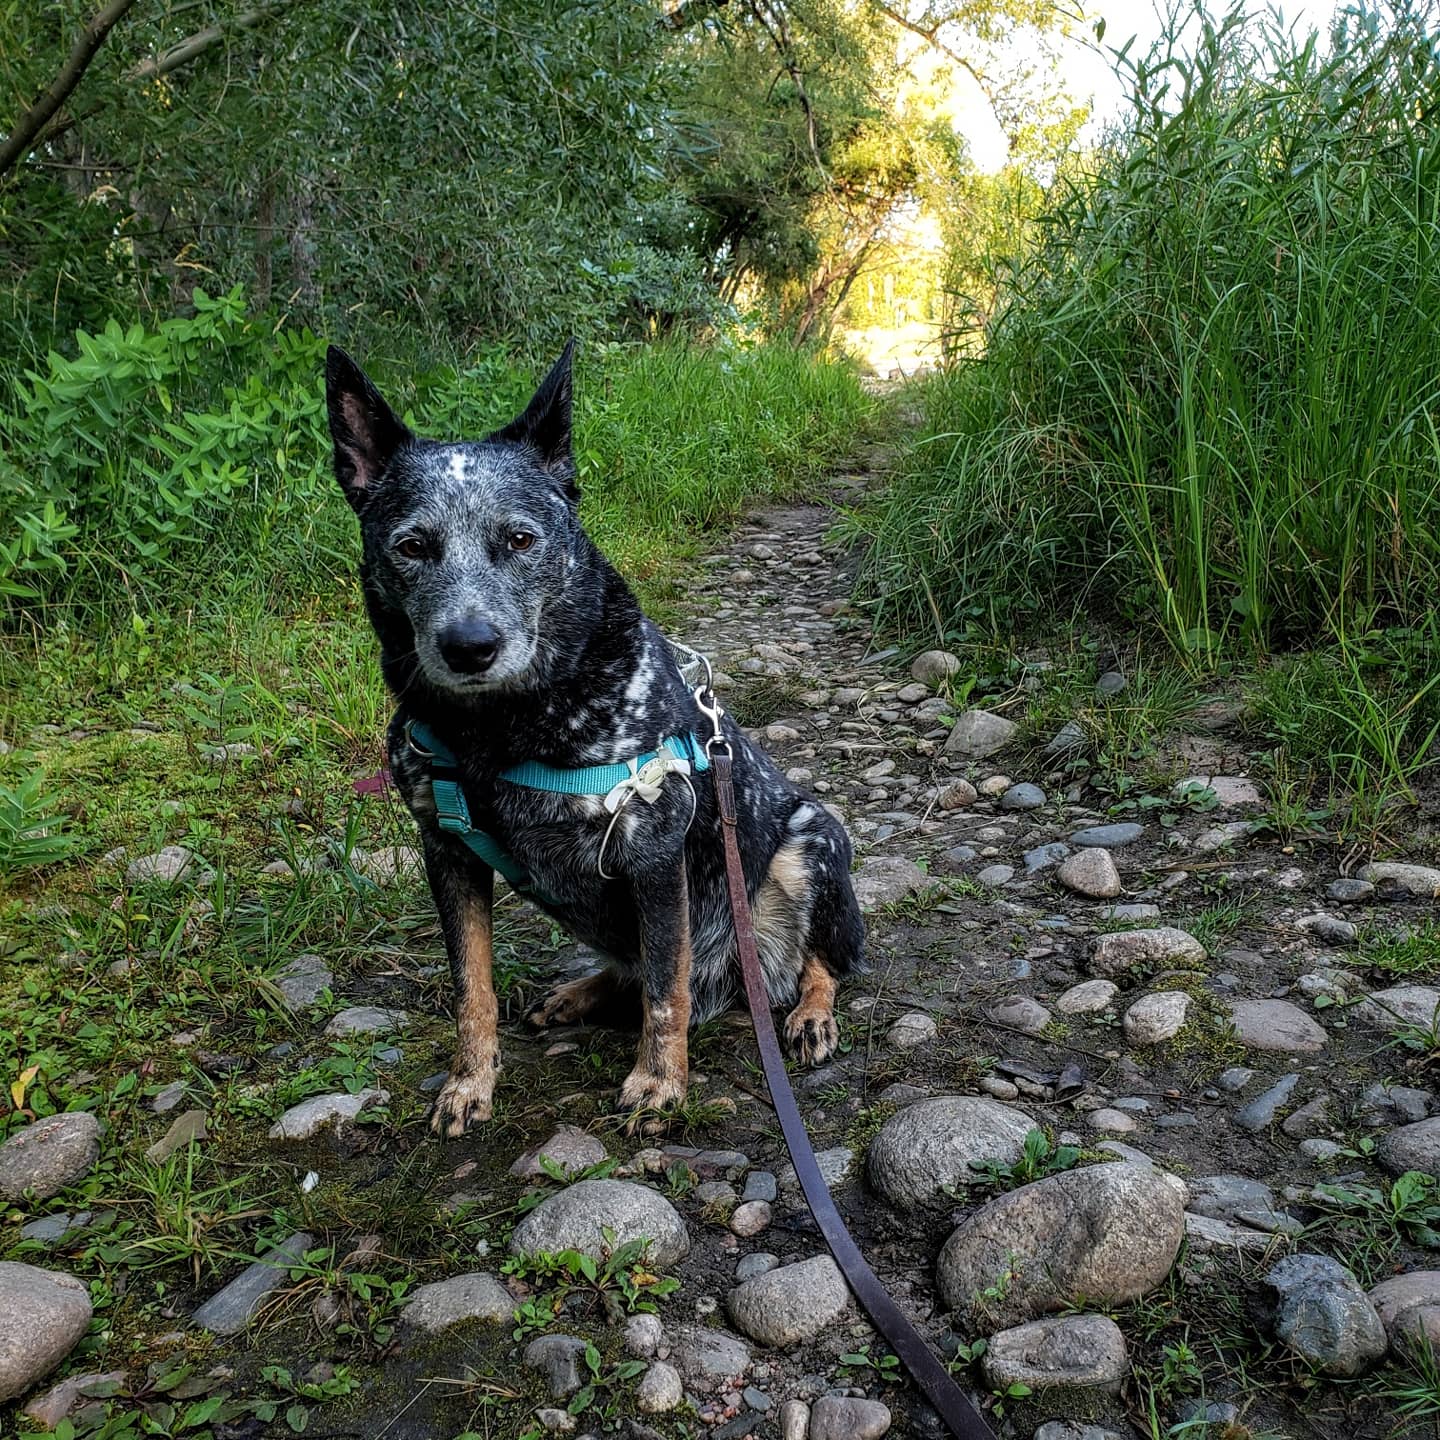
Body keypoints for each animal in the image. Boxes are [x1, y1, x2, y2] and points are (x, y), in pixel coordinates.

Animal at [325, 342, 866, 1136]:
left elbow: (667, 991)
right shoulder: (448, 855)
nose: (469, 646)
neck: (500, 732)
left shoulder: (654, 854)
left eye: (520, 539)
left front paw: (660, 1082)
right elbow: (471, 989)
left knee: (818, 960)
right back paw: (583, 991)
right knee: (636, 968)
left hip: (809, 842)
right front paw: (469, 1082)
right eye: (412, 546)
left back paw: (809, 1014)